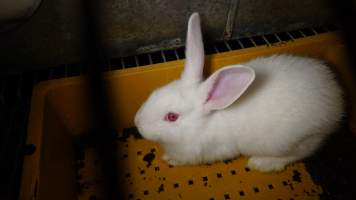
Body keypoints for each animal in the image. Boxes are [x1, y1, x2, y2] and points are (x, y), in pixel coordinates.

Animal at [134, 12, 342, 172]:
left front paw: (170, 159)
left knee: (296, 155)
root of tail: (337, 98)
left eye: (171, 117)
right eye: (155, 93)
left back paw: (261, 163)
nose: (137, 122)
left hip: (300, 141)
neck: (203, 124)